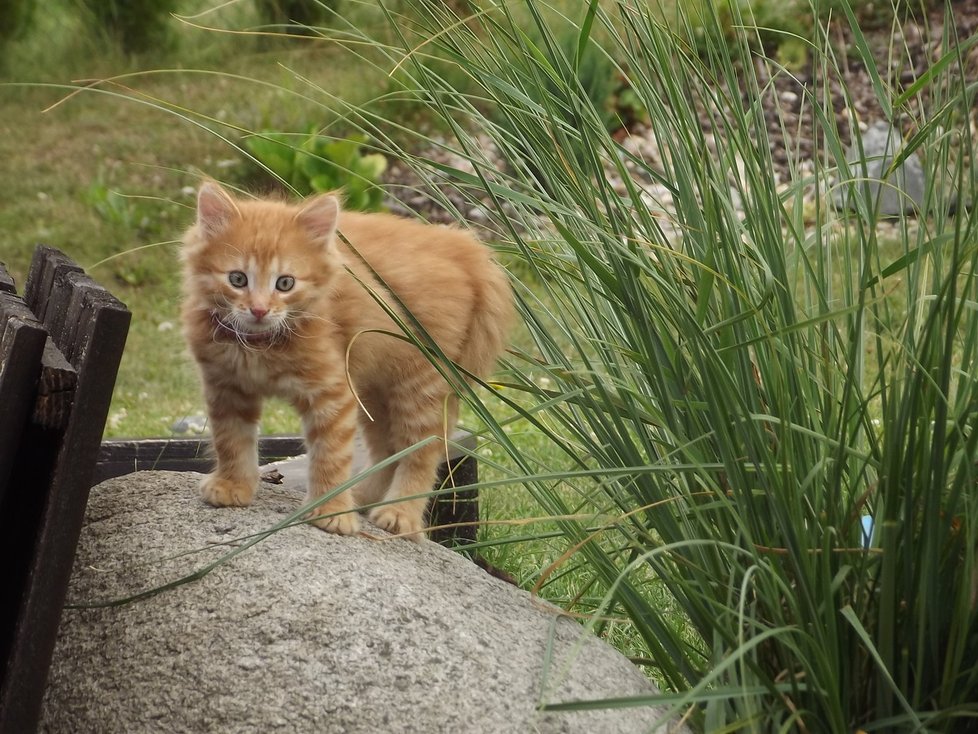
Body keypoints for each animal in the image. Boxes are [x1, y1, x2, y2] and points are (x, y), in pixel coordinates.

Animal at [181, 183, 510, 540]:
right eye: (238, 279)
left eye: (285, 283)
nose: (259, 309)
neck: (259, 345)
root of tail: (461, 246)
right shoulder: (226, 388)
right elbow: (232, 440)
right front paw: (233, 485)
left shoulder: (331, 392)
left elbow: (331, 454)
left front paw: (331, 512)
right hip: (376, 388)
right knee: (388, 448)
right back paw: (362, 497)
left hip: (420, 384)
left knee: (421, 450)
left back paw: (399, 513)